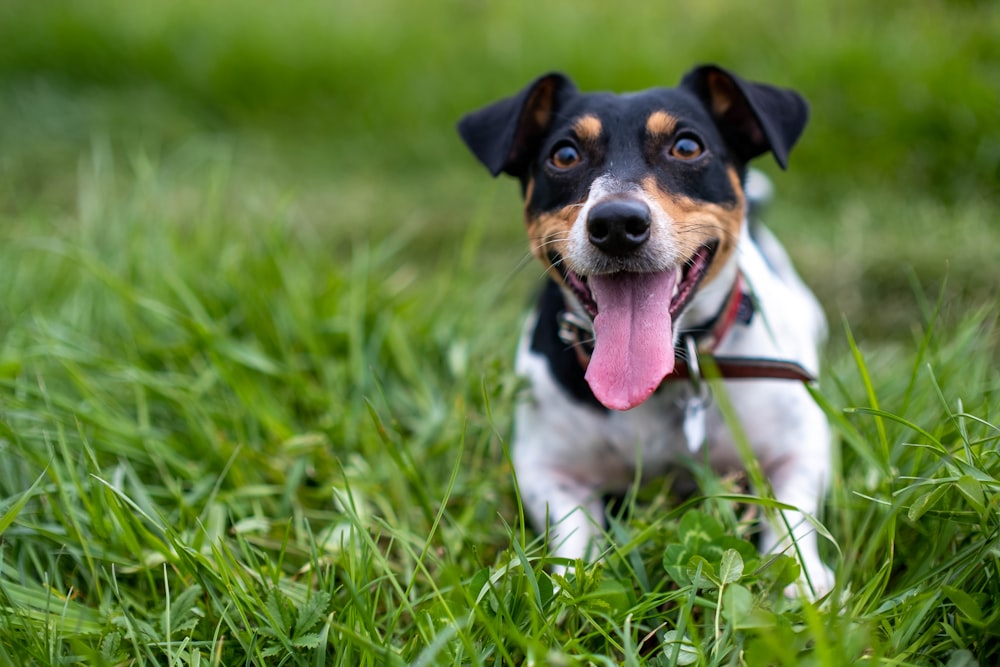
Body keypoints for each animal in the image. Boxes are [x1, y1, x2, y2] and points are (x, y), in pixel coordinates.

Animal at [460, 65, 836, 596]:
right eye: (564, 155)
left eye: (687, 146)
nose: (617, 222)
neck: (666, 377)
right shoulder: (549, 470)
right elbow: (573, 531)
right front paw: (569, 585)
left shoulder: (799, 447)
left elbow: (791, 515)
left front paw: (801, 583)